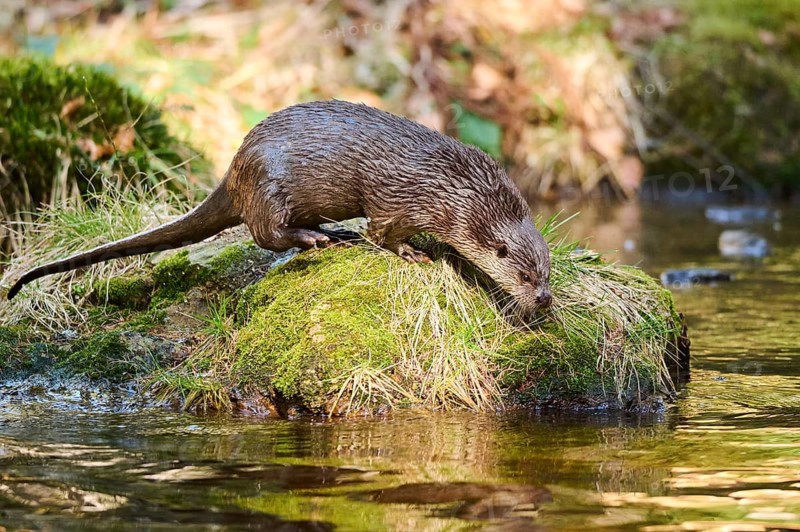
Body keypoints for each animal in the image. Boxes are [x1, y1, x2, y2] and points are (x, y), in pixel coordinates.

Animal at [7, 100, 552, 314]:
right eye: (525, 276)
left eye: (546, 273)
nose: (544, 299)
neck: (455, 188)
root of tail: (234, 168)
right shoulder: (399, 198)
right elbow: (383, 233)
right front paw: (414, 253)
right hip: (269, 186)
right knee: (266, 234)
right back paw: (316, 239)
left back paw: (334, 233)